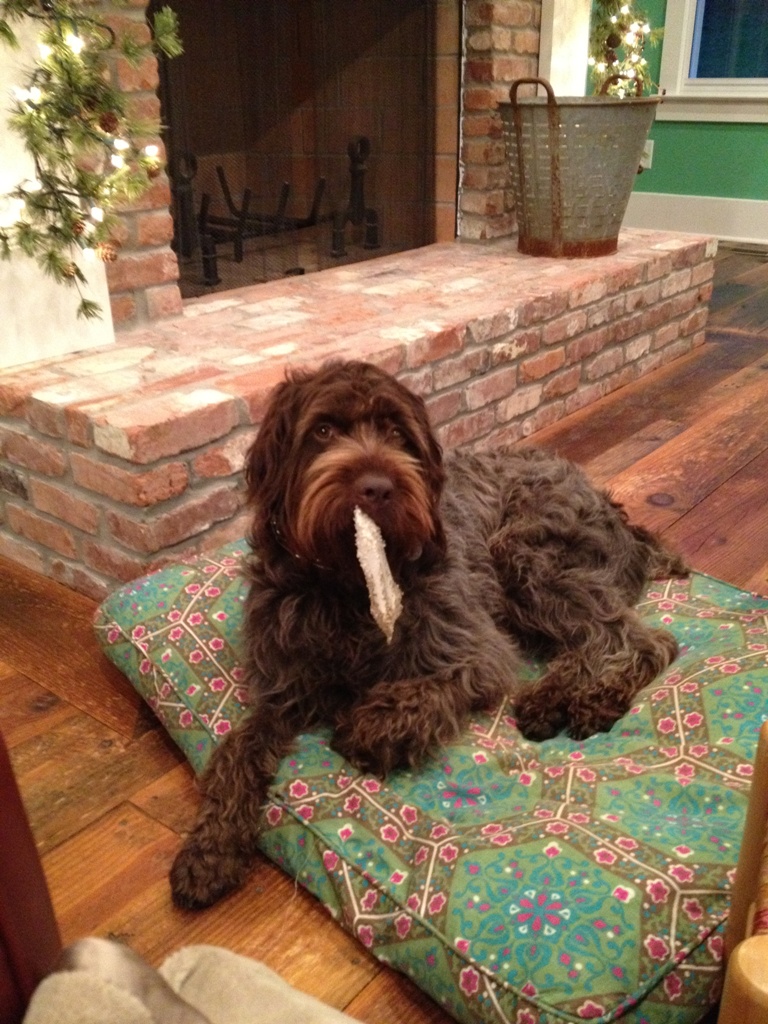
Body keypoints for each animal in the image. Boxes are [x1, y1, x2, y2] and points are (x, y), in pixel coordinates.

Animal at [170, 359, 687, 909]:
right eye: (323, 431)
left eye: (398, 433)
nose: (376, 487)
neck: (349, 586)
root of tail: (614, 511)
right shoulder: (285, 689)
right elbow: (237, 751)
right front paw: (210, 848)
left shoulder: (475, 650)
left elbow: (424, 690)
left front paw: (368, 726)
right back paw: (558, 700)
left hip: (527, 554)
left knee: (636, 641)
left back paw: (584, 700)